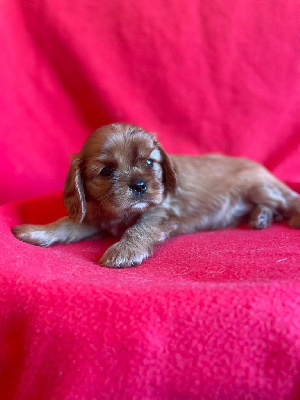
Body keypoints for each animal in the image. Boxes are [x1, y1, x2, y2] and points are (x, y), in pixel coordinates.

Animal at [12, 123, 300, 268]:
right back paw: (260, 218)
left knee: (288, 201)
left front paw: (124, 251)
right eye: (106, 171)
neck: (121, 213)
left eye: (150, 163)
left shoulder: (159, 211)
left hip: (259, 186)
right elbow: (67, 224)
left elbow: (139, 229)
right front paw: (38, 232)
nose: (139, 184)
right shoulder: (94, 214)